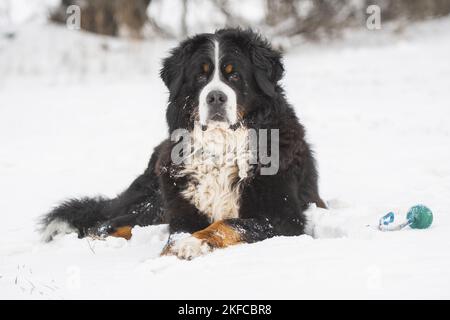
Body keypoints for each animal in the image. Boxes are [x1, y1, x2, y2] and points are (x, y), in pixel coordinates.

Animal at [40, 28, 326, 260]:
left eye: (234, 75)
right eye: (200, 76)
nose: (215, 97)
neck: (220, 149)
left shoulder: (284, 217)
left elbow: (227, 224)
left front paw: (191, 245)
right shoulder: (181, 210)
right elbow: (178, 234)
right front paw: (171, 252)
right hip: (154, 202)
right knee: (106, 225)